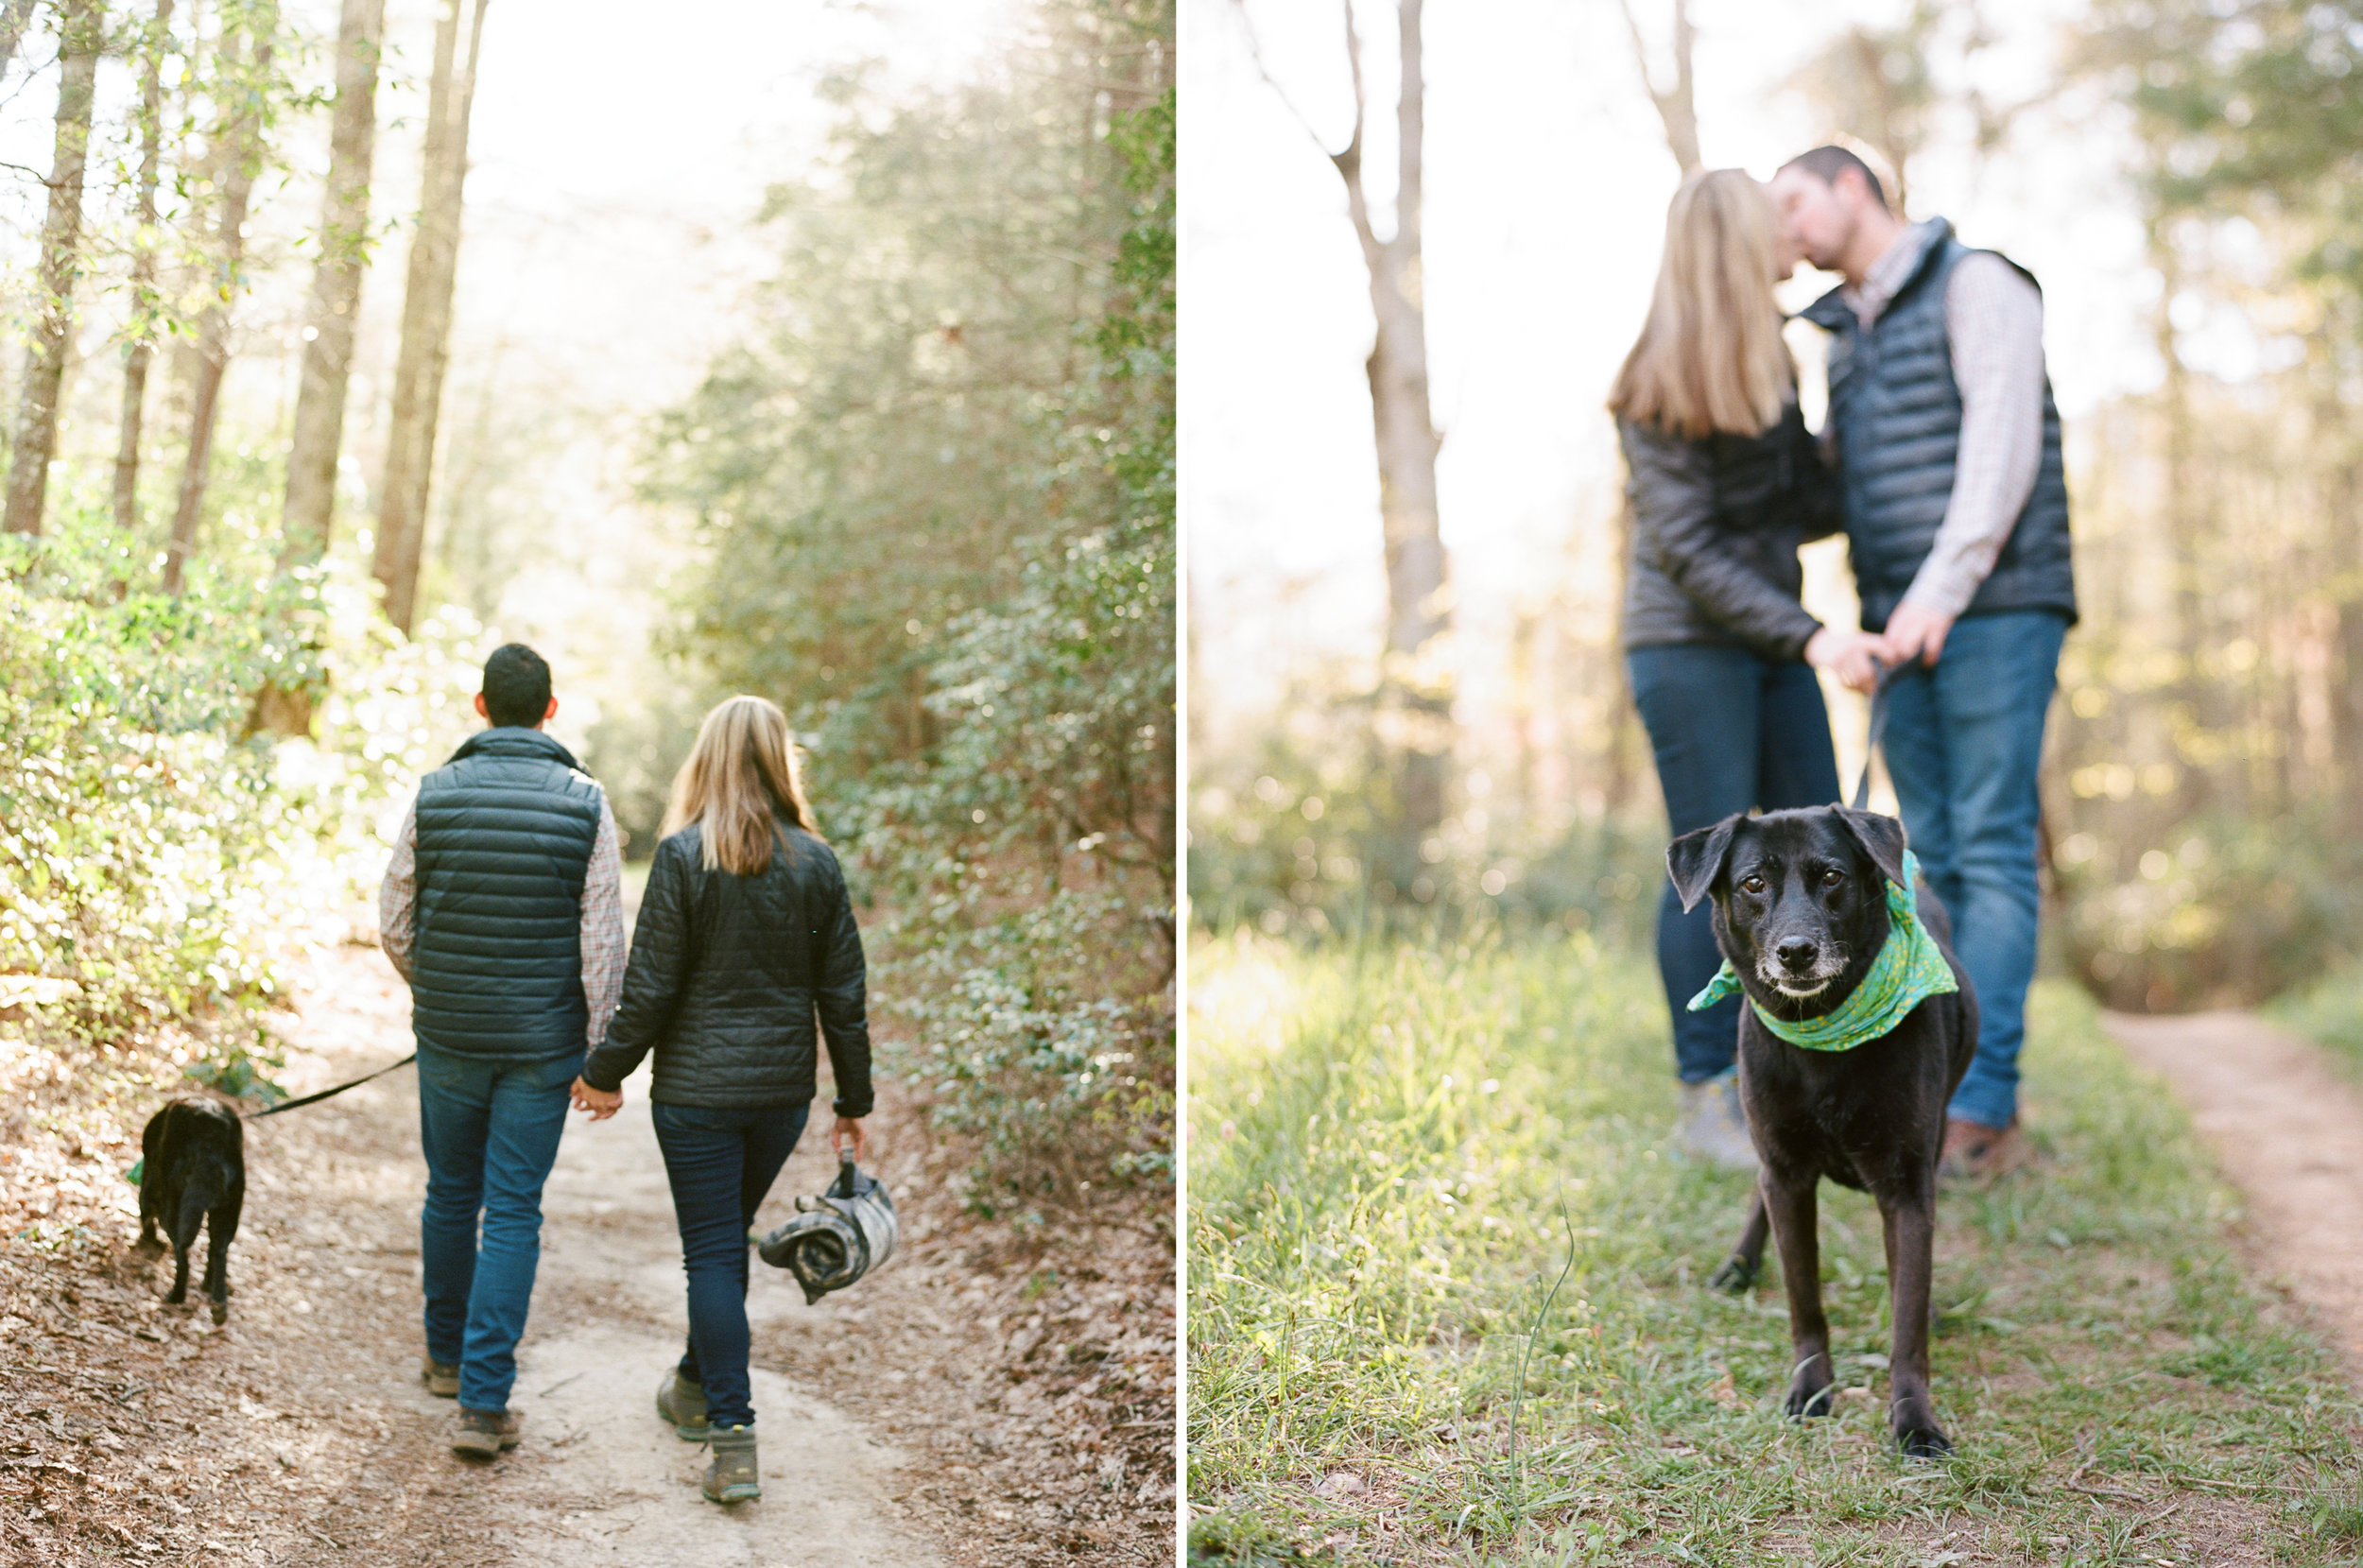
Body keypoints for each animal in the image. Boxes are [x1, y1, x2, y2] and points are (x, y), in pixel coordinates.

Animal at [136, 1100, 244, 1322]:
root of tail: (213, 1136)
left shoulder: (149, 1187)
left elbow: (145, 1212)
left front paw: (149, 1238)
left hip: (175, 1205)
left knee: (182, 1252)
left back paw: (176, 1295)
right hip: (227, 1212)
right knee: (219, 1251)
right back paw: (218, 1302)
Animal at [1664, 807, 1975, 1455]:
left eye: (1832, 876)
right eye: (1753, 884)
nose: (1796, 952)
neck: (1823, 1037)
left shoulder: (1907, 1188)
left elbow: (1907, 1319)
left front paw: (1914, 1419)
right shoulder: (1785, 1175)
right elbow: (1803, 1297)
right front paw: (1810, 1389)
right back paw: (1739, 1266)